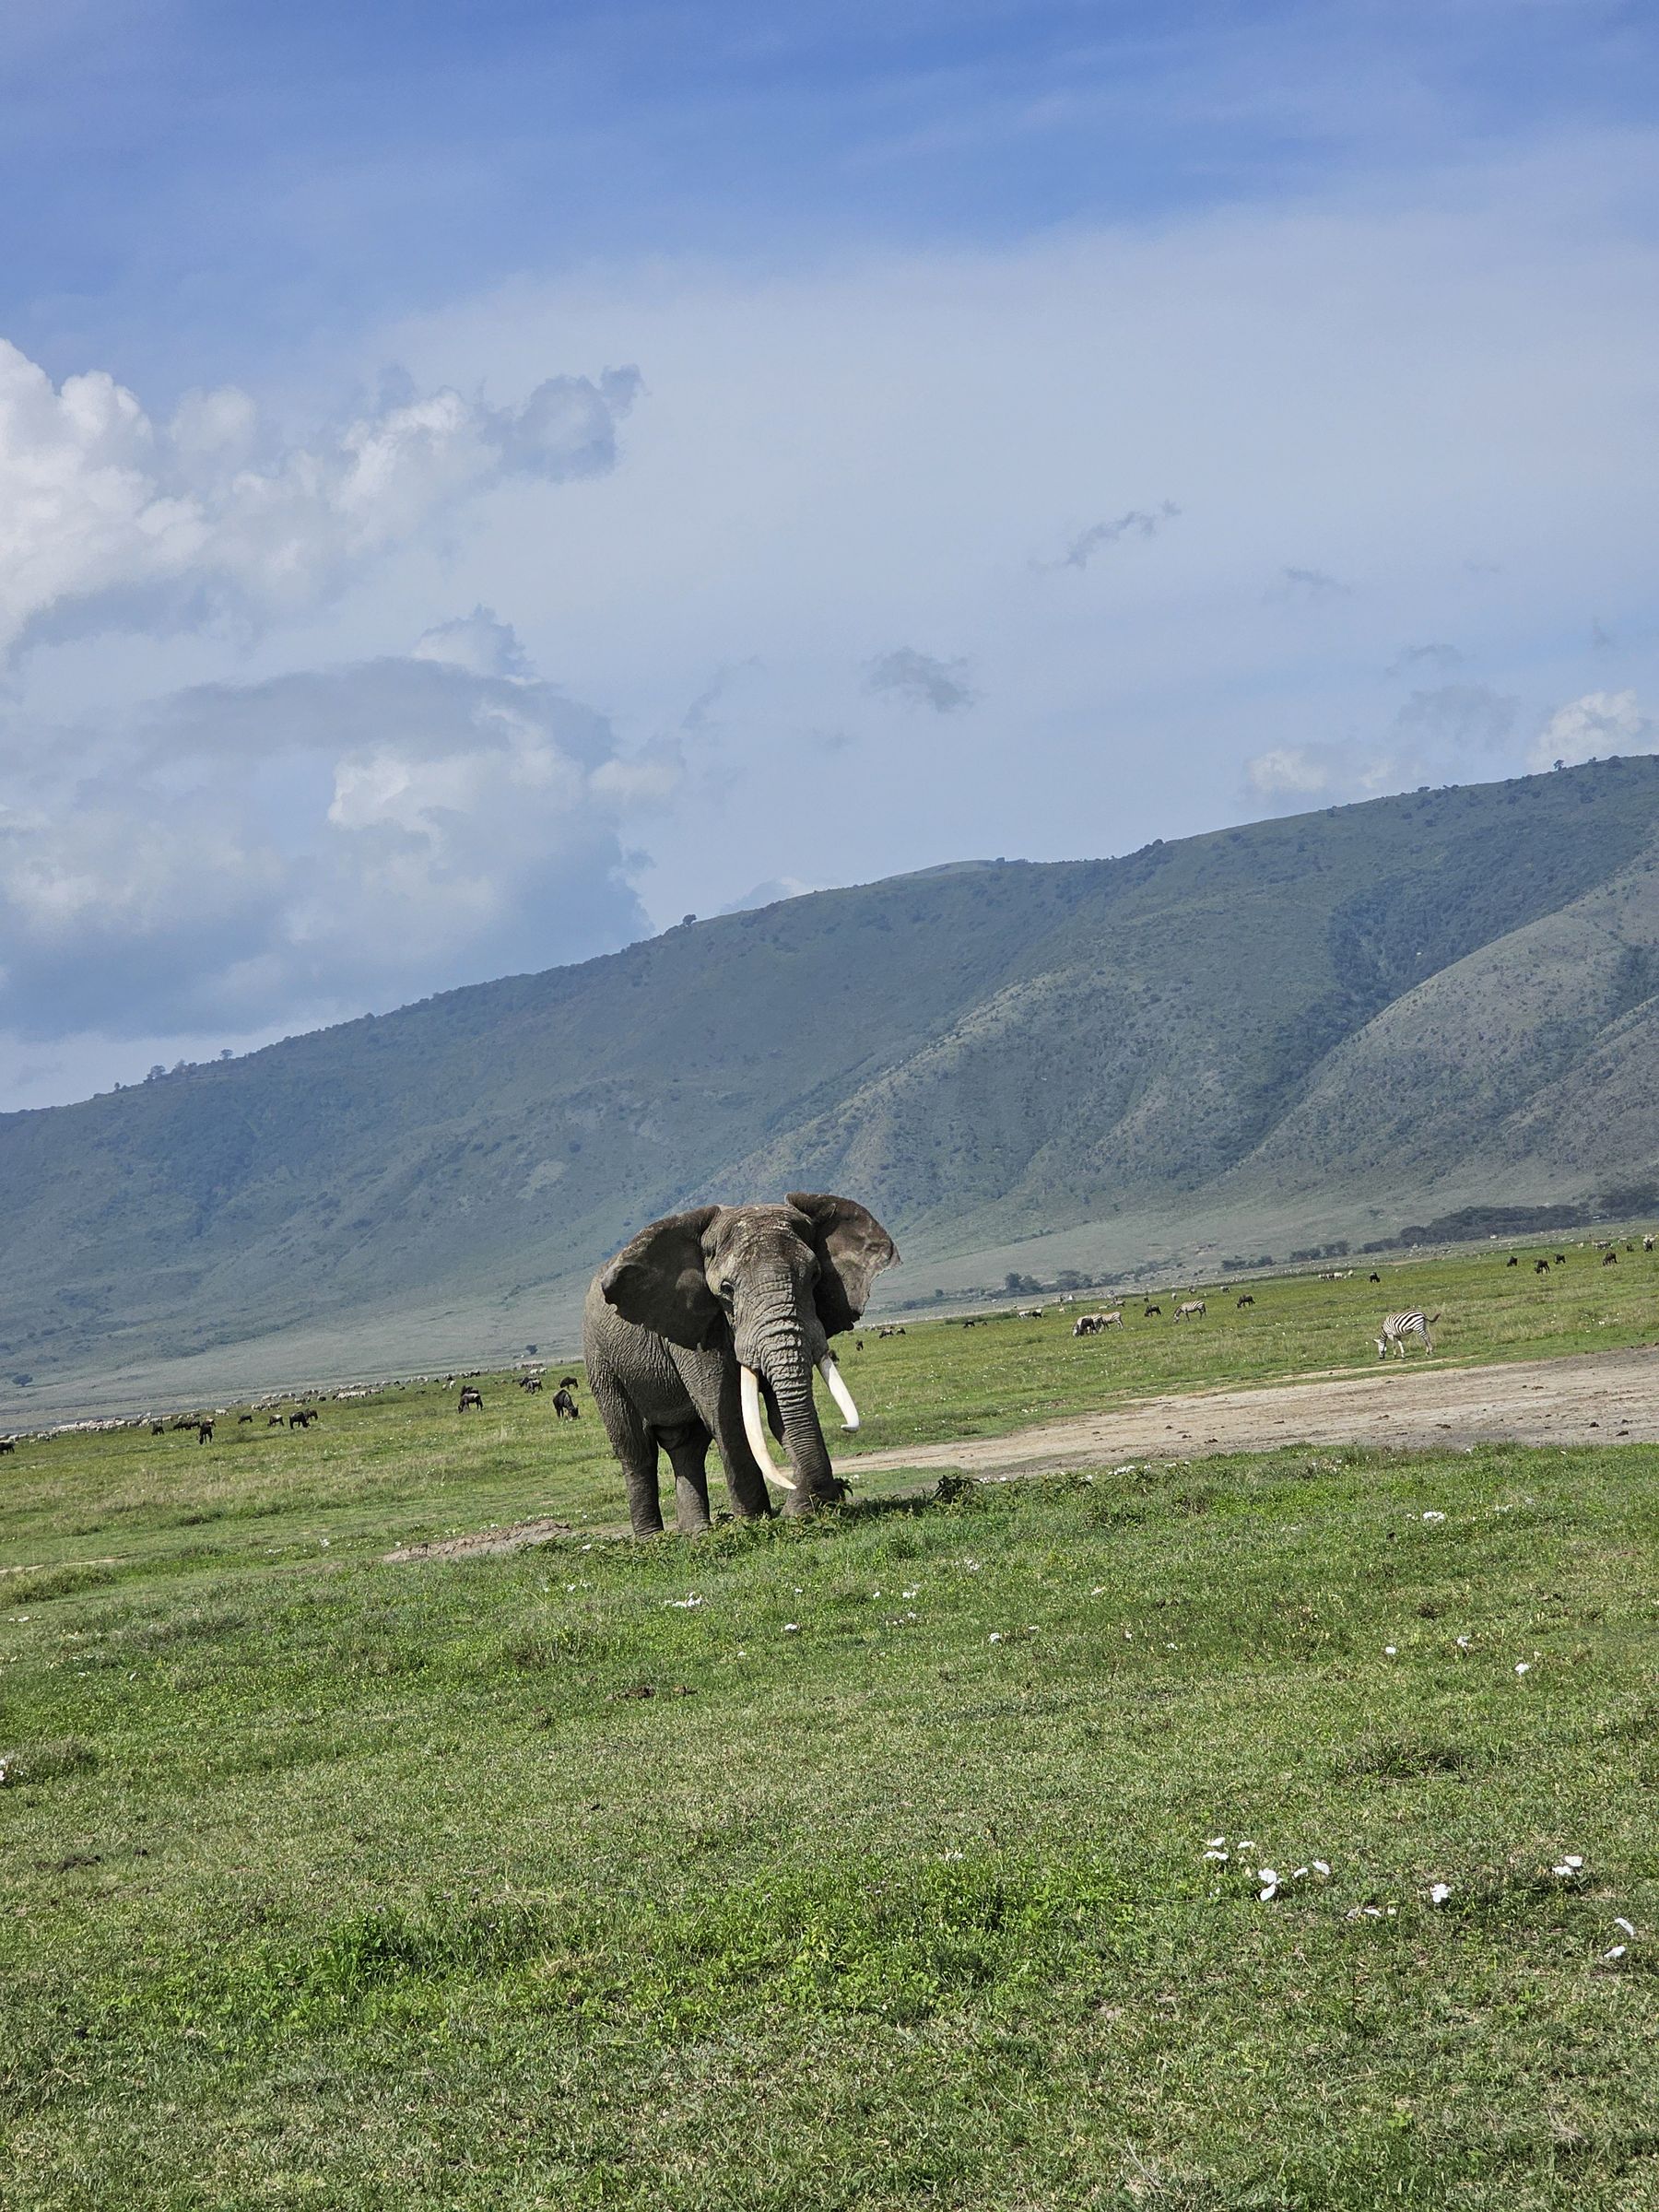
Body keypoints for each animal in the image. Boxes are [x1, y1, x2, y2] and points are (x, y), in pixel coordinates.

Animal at [583, 1193, 899, 1536]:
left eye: (814, 1276)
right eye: (727, 1290)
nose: (836, 1494)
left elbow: (779, 1414)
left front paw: (798, 1513)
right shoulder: (697, 1327)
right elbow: (727, 1413)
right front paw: (753, 1522)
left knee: (686, 1445)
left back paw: (697, 1534)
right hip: (601, 1360)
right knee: (636, 1449)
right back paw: (653, 1540)